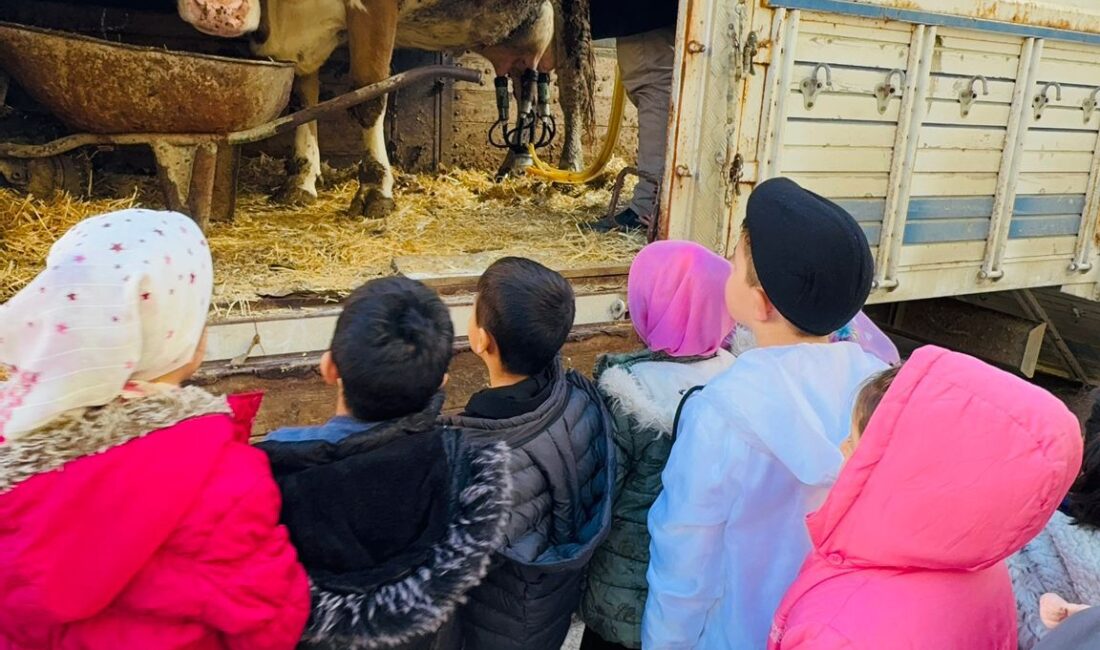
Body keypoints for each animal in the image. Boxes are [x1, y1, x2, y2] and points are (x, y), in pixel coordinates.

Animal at [178, 0, 594, 221]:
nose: (215, 10)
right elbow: (303, 100)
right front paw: (301, 179)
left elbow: (367, 94)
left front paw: (375, 188)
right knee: (526, 82)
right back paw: (516, 161)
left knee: (571, 85)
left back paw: (570, 166)